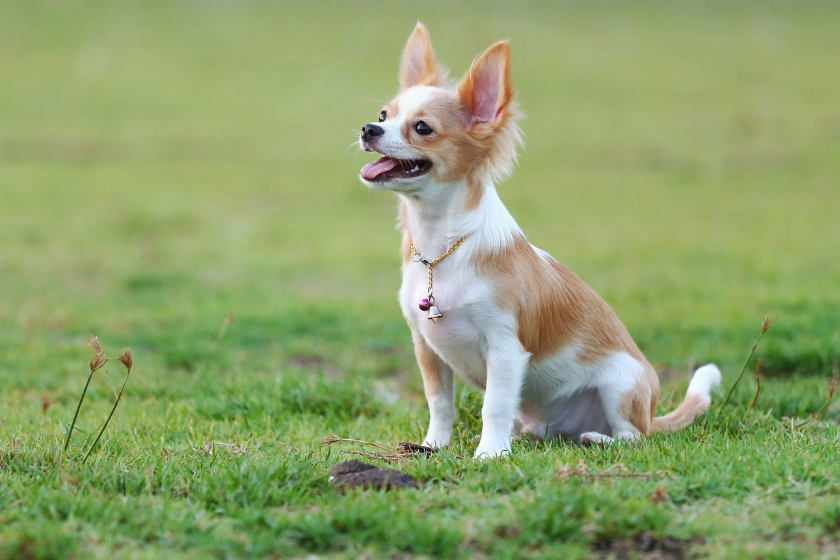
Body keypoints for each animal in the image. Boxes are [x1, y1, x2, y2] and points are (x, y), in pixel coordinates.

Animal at [358, 23, 720, 460]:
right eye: (384, 115)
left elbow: (493, 404)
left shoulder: (506, 350)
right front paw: (432, 445)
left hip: (622, 385)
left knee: (633, 435)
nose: (368, 129)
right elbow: (439, 402)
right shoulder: (426, 346)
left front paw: (490, 455)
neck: (440, 248)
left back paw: (597, 438)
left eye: (422, 128)